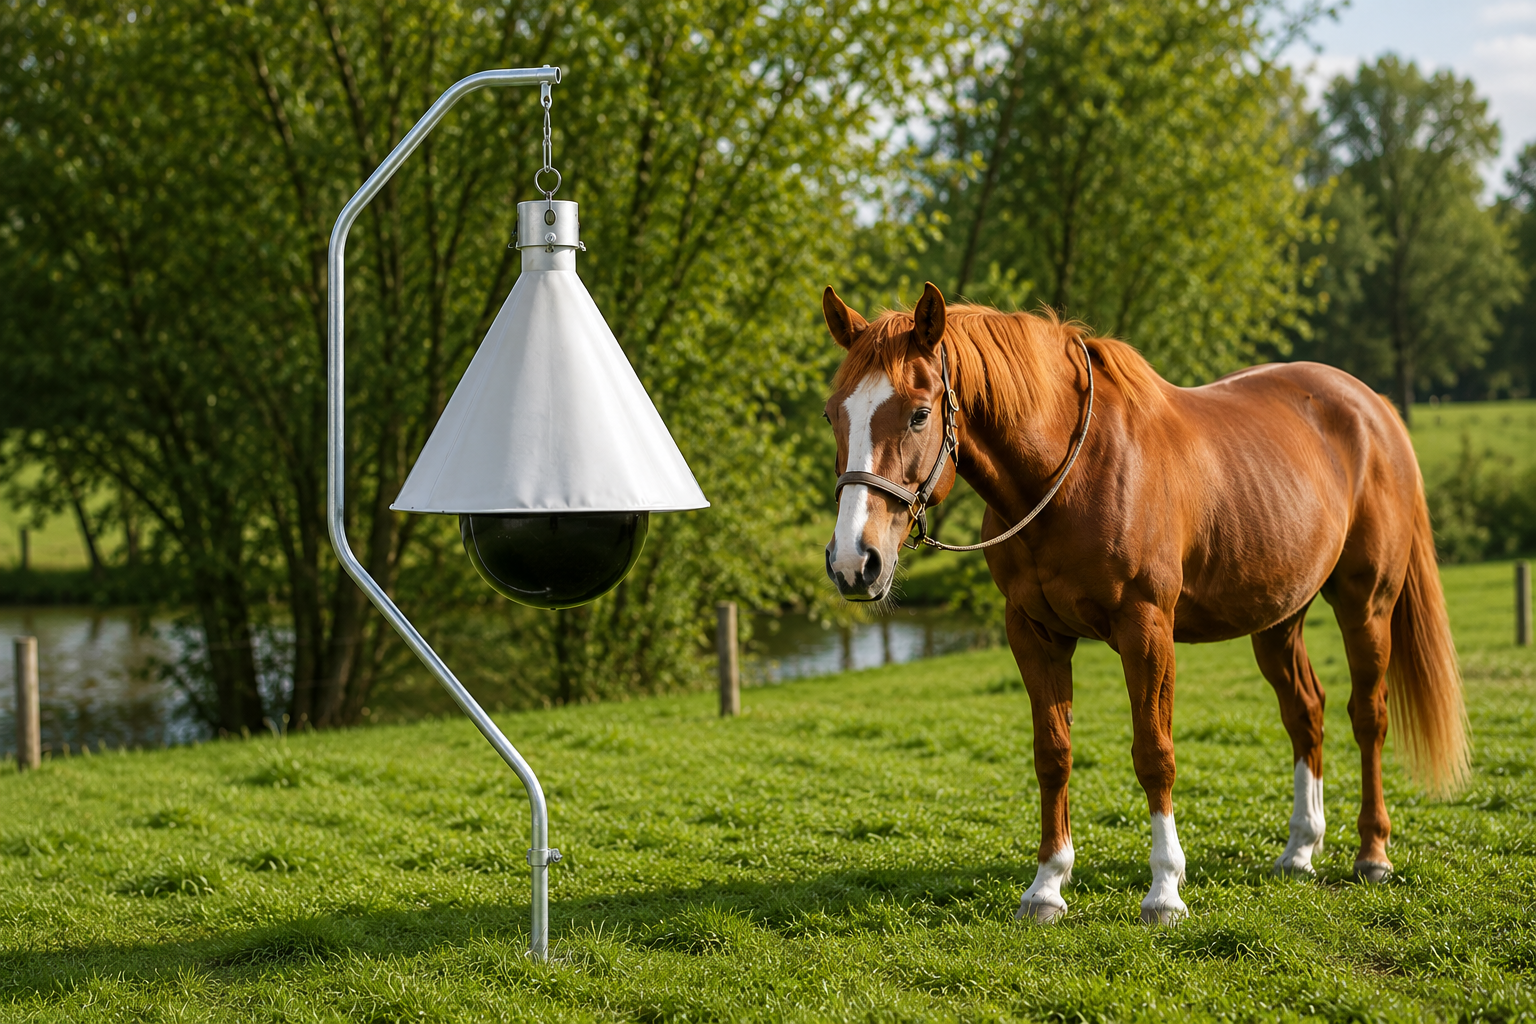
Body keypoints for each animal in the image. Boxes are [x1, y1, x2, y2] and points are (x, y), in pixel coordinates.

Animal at [820, 282, 1469, 924]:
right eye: (833, 413)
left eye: (919, 413)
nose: (855, 561)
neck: (1071, 475)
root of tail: (1373, 407)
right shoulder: (1033, 632)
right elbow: (1052, 753)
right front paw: (1047, 886)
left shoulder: (1146, 629)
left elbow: (1154, 753)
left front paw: (1164, 891)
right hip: (1280, 618)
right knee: (1305, 712)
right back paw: (1300, 850)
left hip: (1367, 603)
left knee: (1369, 715)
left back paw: (1373, 853)